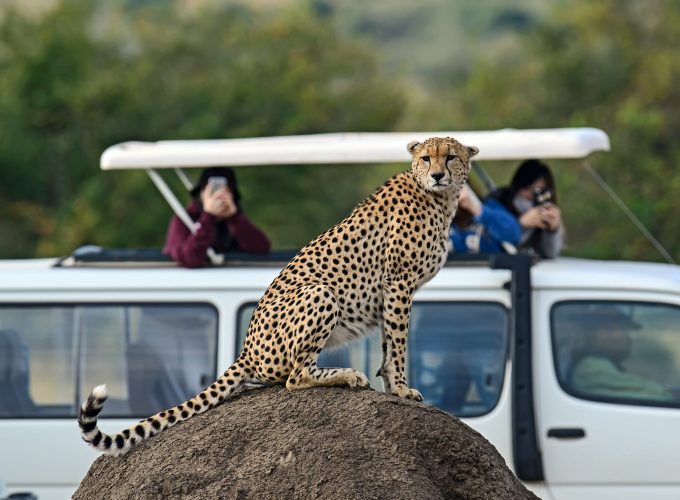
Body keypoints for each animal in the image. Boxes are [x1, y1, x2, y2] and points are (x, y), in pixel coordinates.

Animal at [78, 135, 478, 456]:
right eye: (426, 158)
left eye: (450, 157)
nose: (438, 174)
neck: (437, 197)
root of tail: (246, 349)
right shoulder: (397, 284)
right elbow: (398, 345)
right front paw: (401, 390)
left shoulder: (391, 291)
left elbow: (387, 345)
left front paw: (393, 387)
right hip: (321, 293)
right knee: (293, 378)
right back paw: (347, 375)